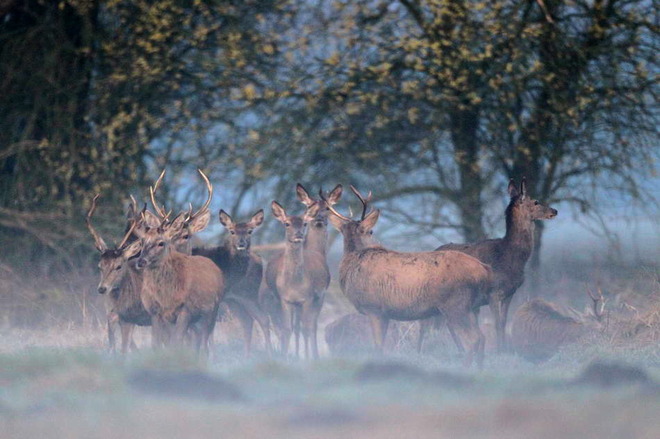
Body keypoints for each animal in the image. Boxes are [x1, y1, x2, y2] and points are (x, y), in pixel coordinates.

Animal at [192, 208, 272, 356]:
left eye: (250, 231)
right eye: (232, 231)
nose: (241, 243)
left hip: (248, 294)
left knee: (262, 318)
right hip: (234, 300)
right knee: (248, 320)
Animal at [328, 186, 492, 368]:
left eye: (371, 230)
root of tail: (484, 269)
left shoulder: (374, 308)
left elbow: (377, 347)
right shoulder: (384, 314)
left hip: (456, 304)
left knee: (473, 339)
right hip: (470, 307)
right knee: (482, 337)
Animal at [430, 177, 560, 352]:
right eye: (536, 201)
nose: (554, 210)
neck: (508, 256)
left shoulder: (510, 293)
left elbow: (504, 323)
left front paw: (505, 349)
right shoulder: (493, 292)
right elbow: (497, 323)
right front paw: (499, 351)